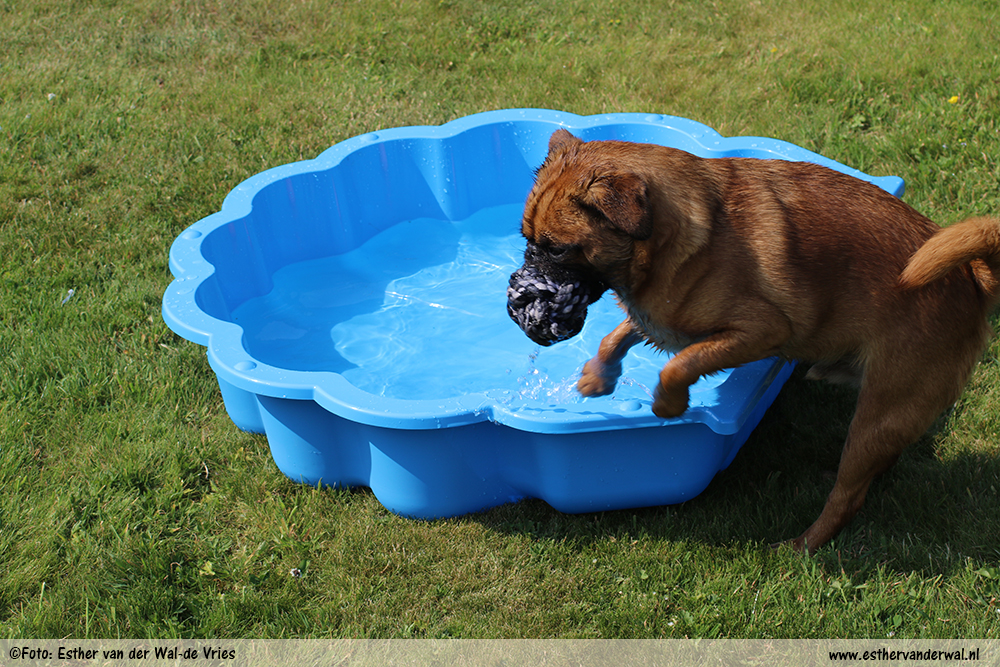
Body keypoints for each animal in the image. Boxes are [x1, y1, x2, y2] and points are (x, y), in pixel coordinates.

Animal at [508, 129, 1000, 552]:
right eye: (527, 239)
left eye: (556, 248)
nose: (523, 276)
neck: (679, 238)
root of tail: (971, 276)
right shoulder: (661, 318)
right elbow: (618, 336)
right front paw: (598, 377)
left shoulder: (761, 331)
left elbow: (679, 365)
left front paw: (668, 404)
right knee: (876, 471)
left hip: (878, 415)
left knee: (848, 497)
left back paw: (804, 546)